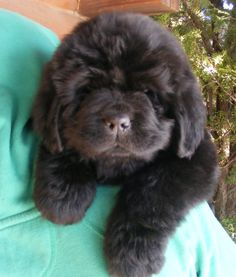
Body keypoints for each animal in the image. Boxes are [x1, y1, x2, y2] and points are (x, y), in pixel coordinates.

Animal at [32, 12, 218, 276]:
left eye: (149, 93)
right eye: (89, 90)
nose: (117, 121)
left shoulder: (197, 157)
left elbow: (153, 193)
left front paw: (133, 252)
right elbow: (64, 143)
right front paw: (65, 196)